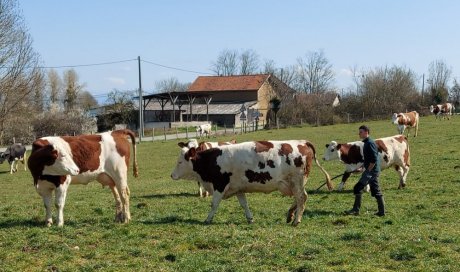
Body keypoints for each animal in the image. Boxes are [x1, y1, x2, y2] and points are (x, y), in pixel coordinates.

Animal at [171, 140, 332, 225]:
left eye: (180, 162)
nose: (172, 175)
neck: (212, 160)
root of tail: (302, 142)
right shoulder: (238, 188)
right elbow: (244, 204)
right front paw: (250, 218)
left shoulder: (219, 186)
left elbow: (214, 204)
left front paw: (208, 219)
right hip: (294, 183)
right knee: (300, 198)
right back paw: (291, 214)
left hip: (296, 181)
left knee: (301, 198)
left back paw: (296, 220)